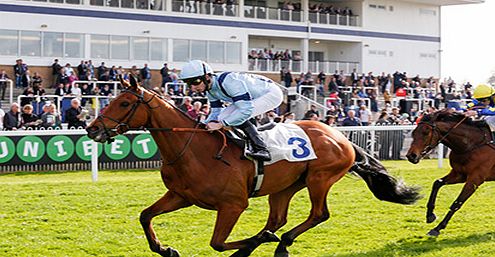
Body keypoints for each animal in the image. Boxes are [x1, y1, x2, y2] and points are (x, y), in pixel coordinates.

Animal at [87, 76, 420, 256]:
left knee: (317, 214)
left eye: (124, 103)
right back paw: (264, 241)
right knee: (277, 219)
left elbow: (217, 243)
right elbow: (145, 216)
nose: (92, 129)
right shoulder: (181, 196)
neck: (192, 150)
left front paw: (252, 243)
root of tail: (340, 135)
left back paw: (278, 243)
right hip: (284, 187)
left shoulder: (233, 205)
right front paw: (165, 249)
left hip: (320, 179)